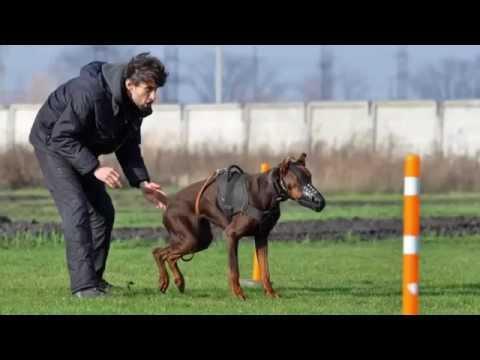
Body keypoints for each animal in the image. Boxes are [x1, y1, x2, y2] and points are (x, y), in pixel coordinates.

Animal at [153, 153, 326, 300]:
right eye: (299, 180)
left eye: (310, 178)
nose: (321, 202)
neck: (267, 191)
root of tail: (169, 202)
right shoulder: (231, 235)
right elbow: (234, 270)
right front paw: (238, 294)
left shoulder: (262, 237)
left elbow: (265, 271)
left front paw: (271, 293)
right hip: (192, 238)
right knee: (160, 253)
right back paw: (165, 280)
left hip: (199, 239)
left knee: (167, 255)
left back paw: (178, 281)